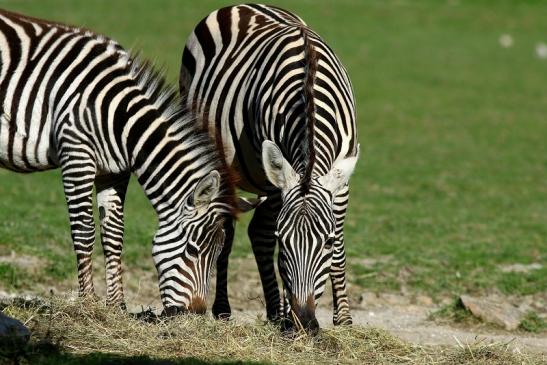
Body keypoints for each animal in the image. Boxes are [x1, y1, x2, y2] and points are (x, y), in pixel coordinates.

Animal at [0, 9, 235, 312]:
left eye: (218, 254)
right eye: (193, 250)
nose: (196, 312)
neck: (121, 119)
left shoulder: (114, 171)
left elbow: (113, 233)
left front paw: (116, 306)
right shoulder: (77, 154)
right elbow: (84, 228)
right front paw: (88, 303)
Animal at [180, 3, 360, 330]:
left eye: (325, 243)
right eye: (284, 242)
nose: (305, 321)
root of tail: (239, 6)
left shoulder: (341, 180)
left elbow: (340, 247)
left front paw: (343, 319)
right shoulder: (276, 179)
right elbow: (267, 240)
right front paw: (287, 316)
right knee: (232, 231)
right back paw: (229, 309)